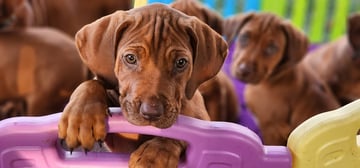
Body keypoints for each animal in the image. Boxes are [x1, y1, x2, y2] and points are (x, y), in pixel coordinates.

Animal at [58, 3, 228, 167]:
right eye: (130, 58)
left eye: (181, 62)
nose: (151, 113)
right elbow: (92, 83)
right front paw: (81, 118)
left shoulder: (202, 120)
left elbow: (181, 134)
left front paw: (155, 154)